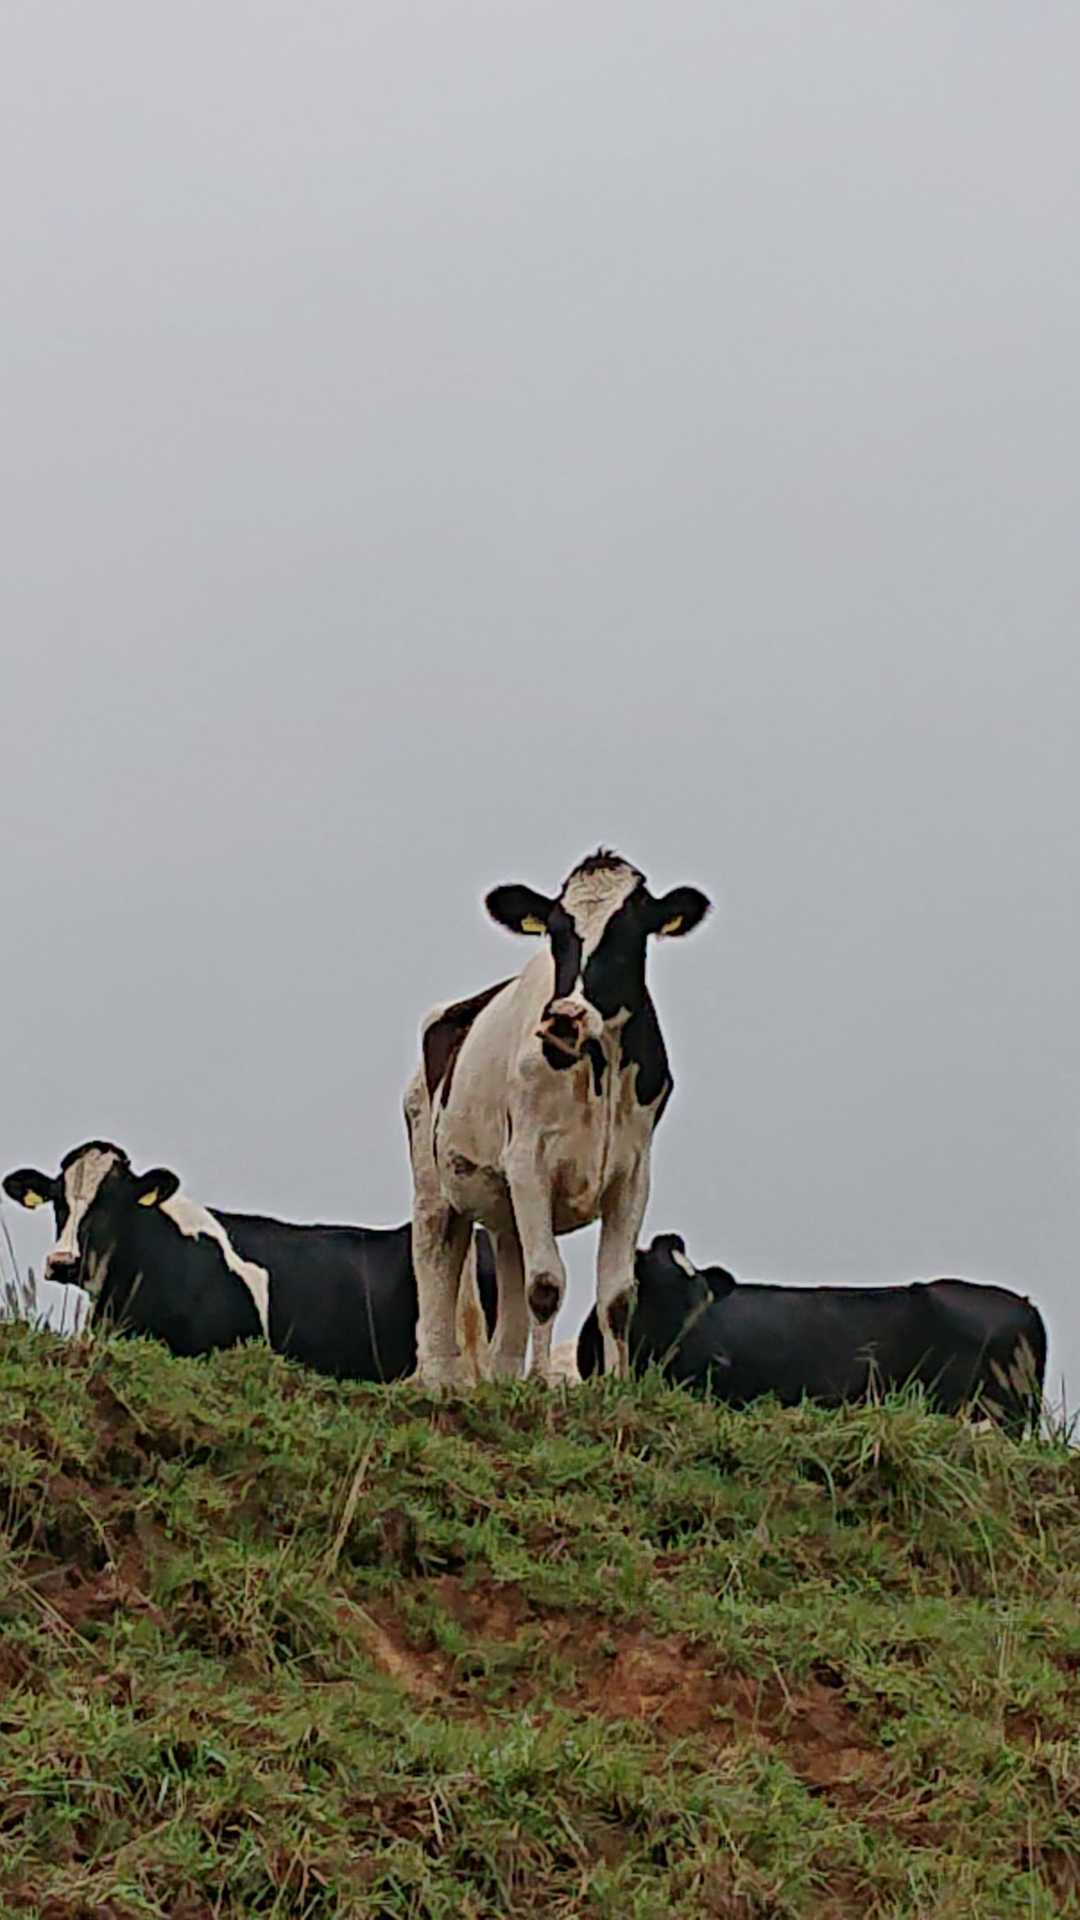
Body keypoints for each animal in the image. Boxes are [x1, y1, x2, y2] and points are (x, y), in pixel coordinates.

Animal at [403, 848, 711, 1388]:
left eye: (629, 931)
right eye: (556, 931)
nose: (565, 1016)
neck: (599, 1067)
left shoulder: (633, 1174)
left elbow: (616, 1296)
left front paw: (614, 1383)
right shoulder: (530, 1161)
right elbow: (546, 1283)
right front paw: (543, 1384)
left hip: (502, 1205)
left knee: (507, 1270)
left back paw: (503, 1378)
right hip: (434, 1185)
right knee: (436, 1263)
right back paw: (442, 1379)